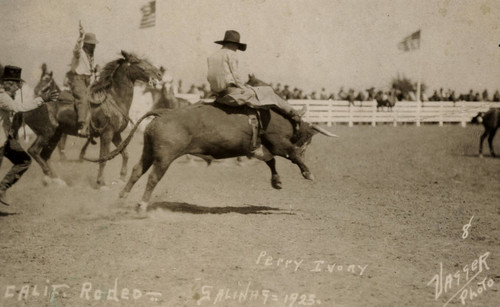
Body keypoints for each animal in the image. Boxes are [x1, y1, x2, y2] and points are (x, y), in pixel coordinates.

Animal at [17, 51, 161, 186]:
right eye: (137, 61)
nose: (159, 74)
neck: (115, 99)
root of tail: (26, 108)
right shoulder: (107, 134)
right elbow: (103, 158)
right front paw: (101, 182)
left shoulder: (116, 134)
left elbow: (125, 154)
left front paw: (121, 178)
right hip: (46, 133)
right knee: (34, 151)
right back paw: (50, 175)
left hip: (55, 135)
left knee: (45, 156)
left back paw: (55, 179)